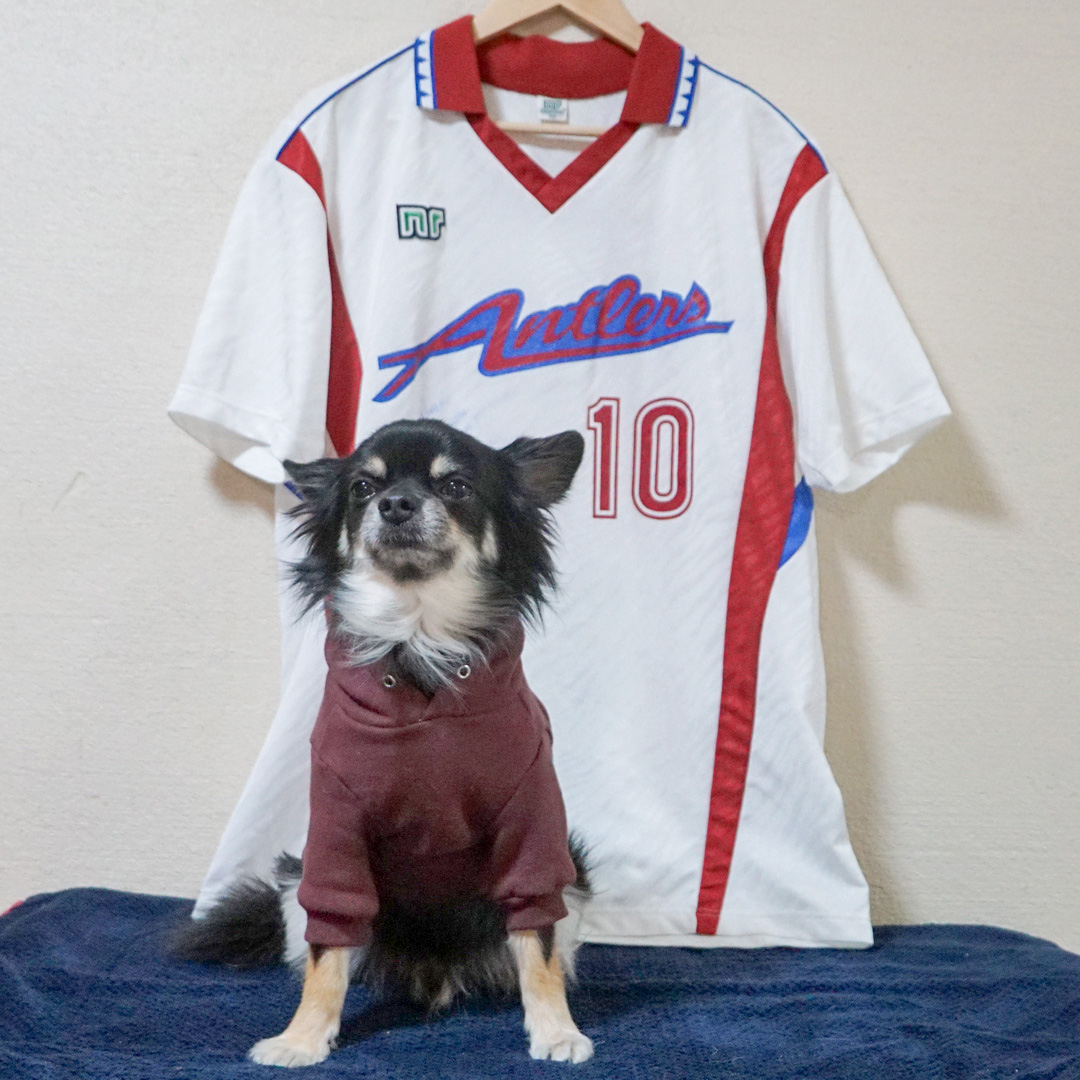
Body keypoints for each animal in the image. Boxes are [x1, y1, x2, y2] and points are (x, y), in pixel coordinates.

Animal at [172, 418, 593, 1067]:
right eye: (363, 488)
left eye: (458, 486)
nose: (395, 503)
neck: (418, 639)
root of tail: (435, 971)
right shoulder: (335, 832)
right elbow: (327, 952)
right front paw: (303, 1036)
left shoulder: (534, 829)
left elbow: (537, 939)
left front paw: (554, 1029)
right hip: (294, 879)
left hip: (575, 873)